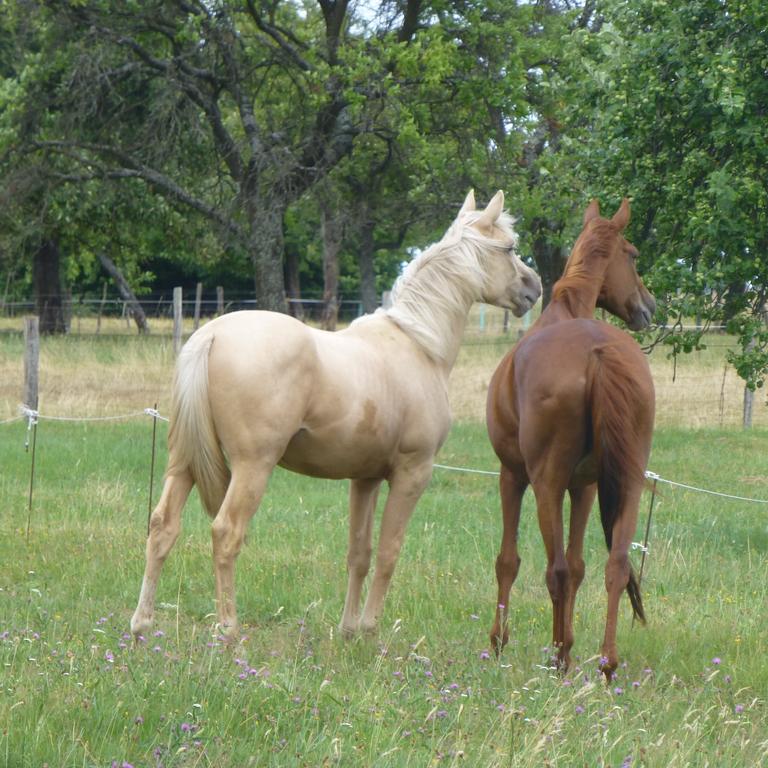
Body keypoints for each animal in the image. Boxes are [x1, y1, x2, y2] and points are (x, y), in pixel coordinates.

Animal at [130, 190, 540, 640]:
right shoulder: (412, 474)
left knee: (162, 525)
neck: (418, 343)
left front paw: (348, 630)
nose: (534, 287)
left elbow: (359, 553)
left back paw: (142, 624)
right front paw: (372, 631)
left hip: (184, 462)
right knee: (226, 533)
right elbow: (389, 552)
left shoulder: (365, 479)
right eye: (510, 248)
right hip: (252, 466)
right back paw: (229, 630)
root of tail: (212, 334)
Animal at [486, 196, 656, 680]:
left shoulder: (513, 476)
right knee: (615, 565)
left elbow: (510, 561)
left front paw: (499, 641)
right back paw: (606, 663)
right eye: (633, 255)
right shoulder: (585, 487)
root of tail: (597, 352)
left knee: (555, 569)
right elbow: (581, 567)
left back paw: (560, 657)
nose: (649, 305)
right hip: (629, 482)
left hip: (545, 484)